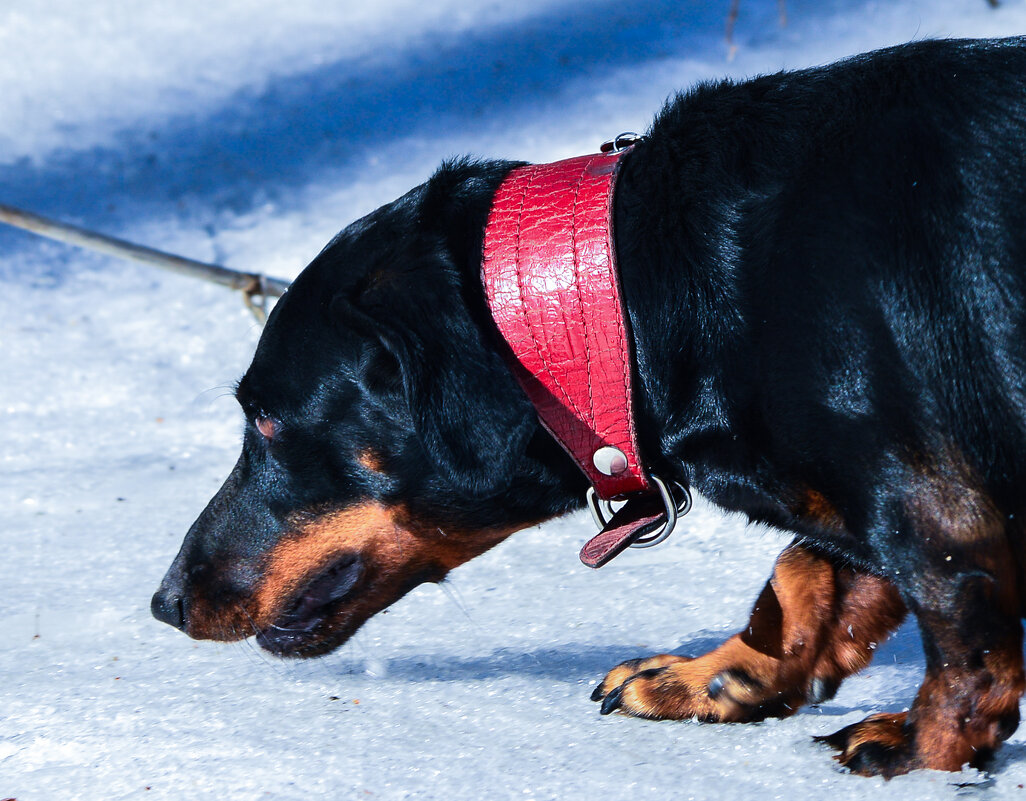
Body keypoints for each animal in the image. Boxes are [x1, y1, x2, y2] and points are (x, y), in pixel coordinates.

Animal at [151, 38, 1026, 775]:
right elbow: (808, 574)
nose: (164, 602)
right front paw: (718, 675)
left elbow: (967, 645)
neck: (642, 283)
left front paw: (924, 751)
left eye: (268, 422)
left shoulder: (928, 501)